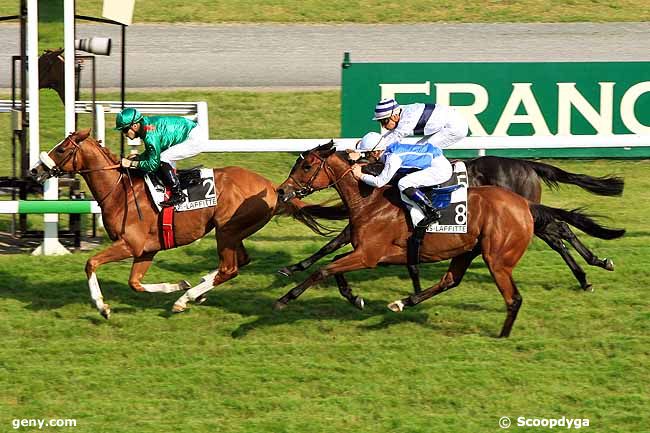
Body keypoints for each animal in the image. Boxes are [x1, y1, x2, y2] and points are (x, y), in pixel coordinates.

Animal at [276, 152, 620, 290]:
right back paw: (588, 272)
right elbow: (335, 242)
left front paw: (292, 268)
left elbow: (338, 241)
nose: (283, 190)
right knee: (558, 232)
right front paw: (292, 267)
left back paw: (591, 269)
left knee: (559, 229)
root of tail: (527, 164)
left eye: (305, 166)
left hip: (525, 213)